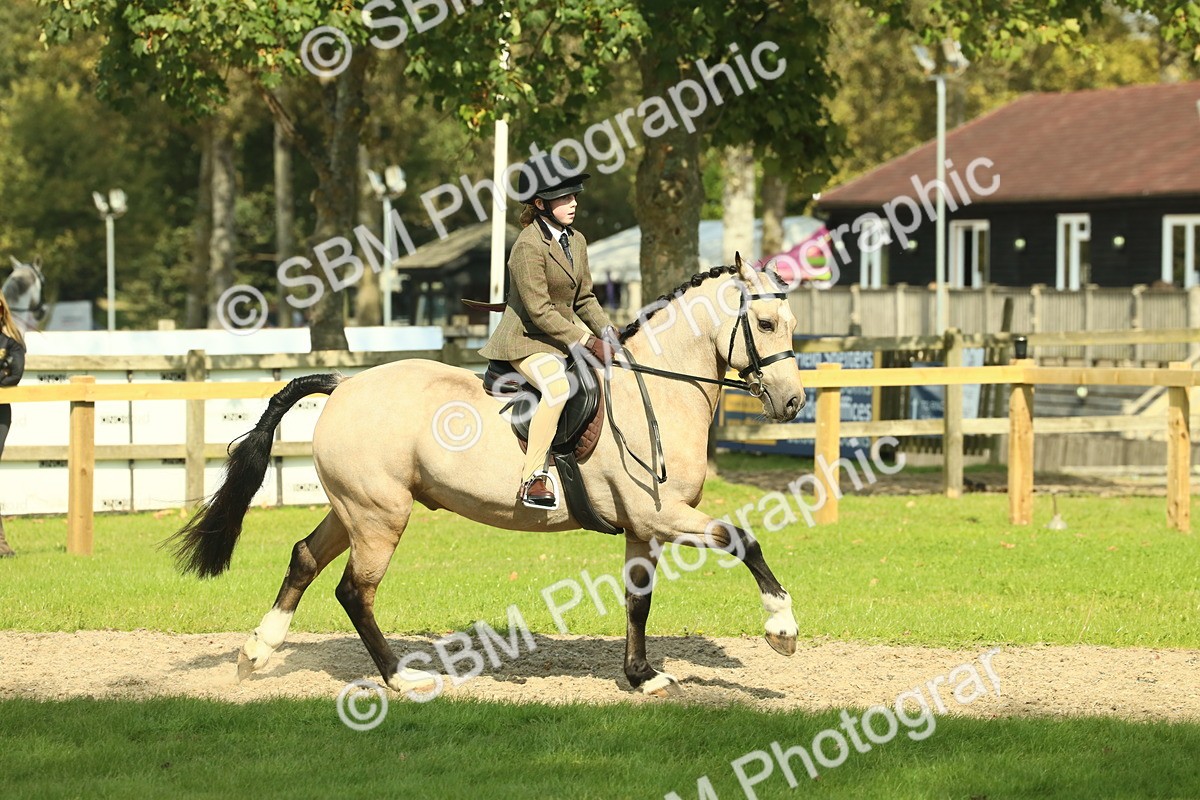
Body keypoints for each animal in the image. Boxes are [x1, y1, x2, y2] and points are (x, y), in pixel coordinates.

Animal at [170, 256, 808, 696]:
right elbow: (744, 540)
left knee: (304, 557)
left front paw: (642, 676)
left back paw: (257, 652)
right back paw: (400, 678)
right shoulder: (664, 515)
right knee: (355, 590)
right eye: (765, 323)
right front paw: (782, 629)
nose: (794, 402)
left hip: (355, 508)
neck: (657, 388)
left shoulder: (643, 528)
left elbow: (637, 603)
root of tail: (345, 383)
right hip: (380, 517)